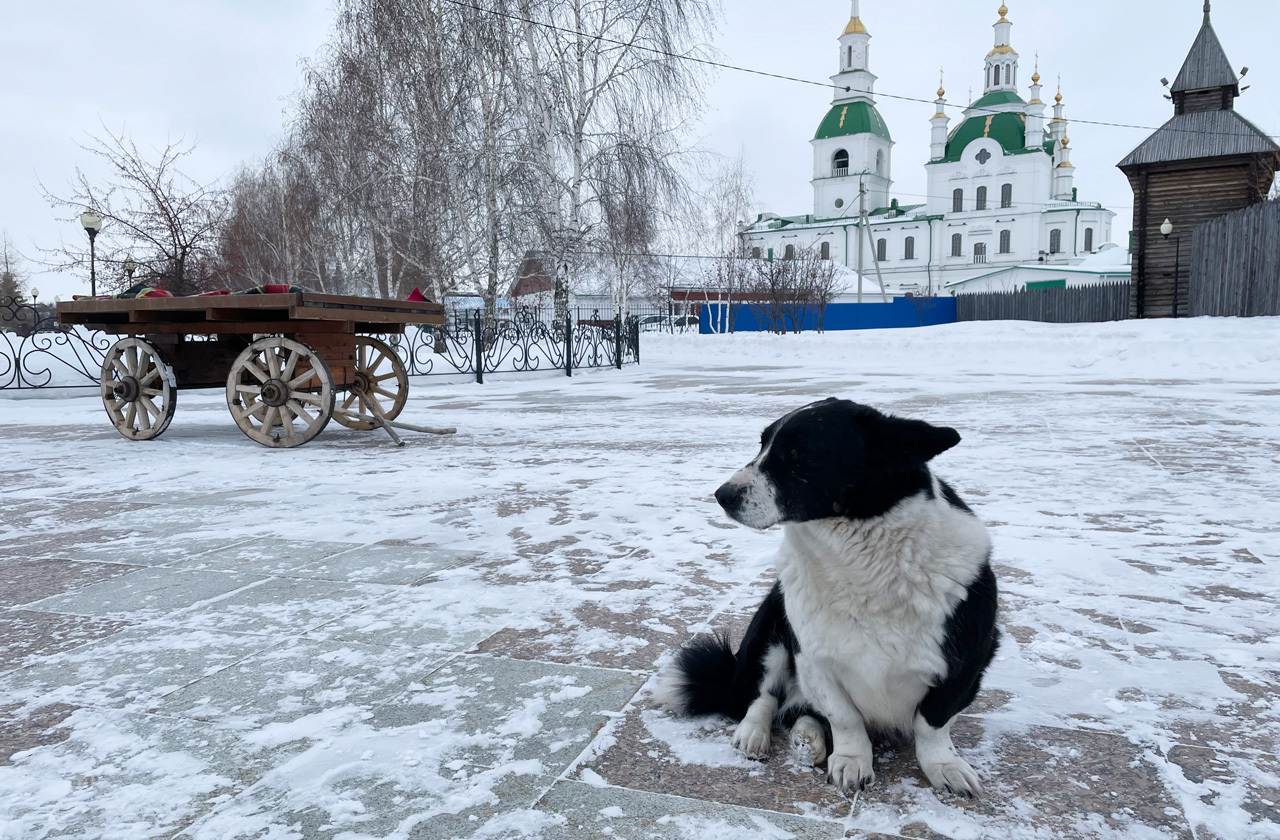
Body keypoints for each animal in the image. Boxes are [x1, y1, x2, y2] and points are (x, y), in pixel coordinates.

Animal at [660, 399, 998, 799]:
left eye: (796, 453)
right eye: (763, 445)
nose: (722, 496)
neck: (861, 560)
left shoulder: (968, 660)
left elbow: (932, 724)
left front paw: (944, 766)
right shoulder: (814, 659)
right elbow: (844, 717)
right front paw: (852, 761)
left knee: (799, 710)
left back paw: (809, 740)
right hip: (770, 629)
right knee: (763, 695)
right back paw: (757, 734)